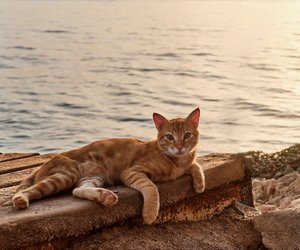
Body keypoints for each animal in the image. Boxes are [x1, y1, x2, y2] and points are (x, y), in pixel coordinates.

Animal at [7, 108, 205, 224]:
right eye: (169, 137)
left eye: (187, 135)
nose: (179, 147)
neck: (177, 161)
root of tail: (41, 166)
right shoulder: (132, 172)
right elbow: (151, 188)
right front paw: (150, 214)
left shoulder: (187, 162)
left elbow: (196, 166)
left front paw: (200, 184)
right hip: (66, 175)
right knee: (27, 191)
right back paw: (21, 200)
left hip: (92, 178)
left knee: (77, 190)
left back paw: (105, 196)